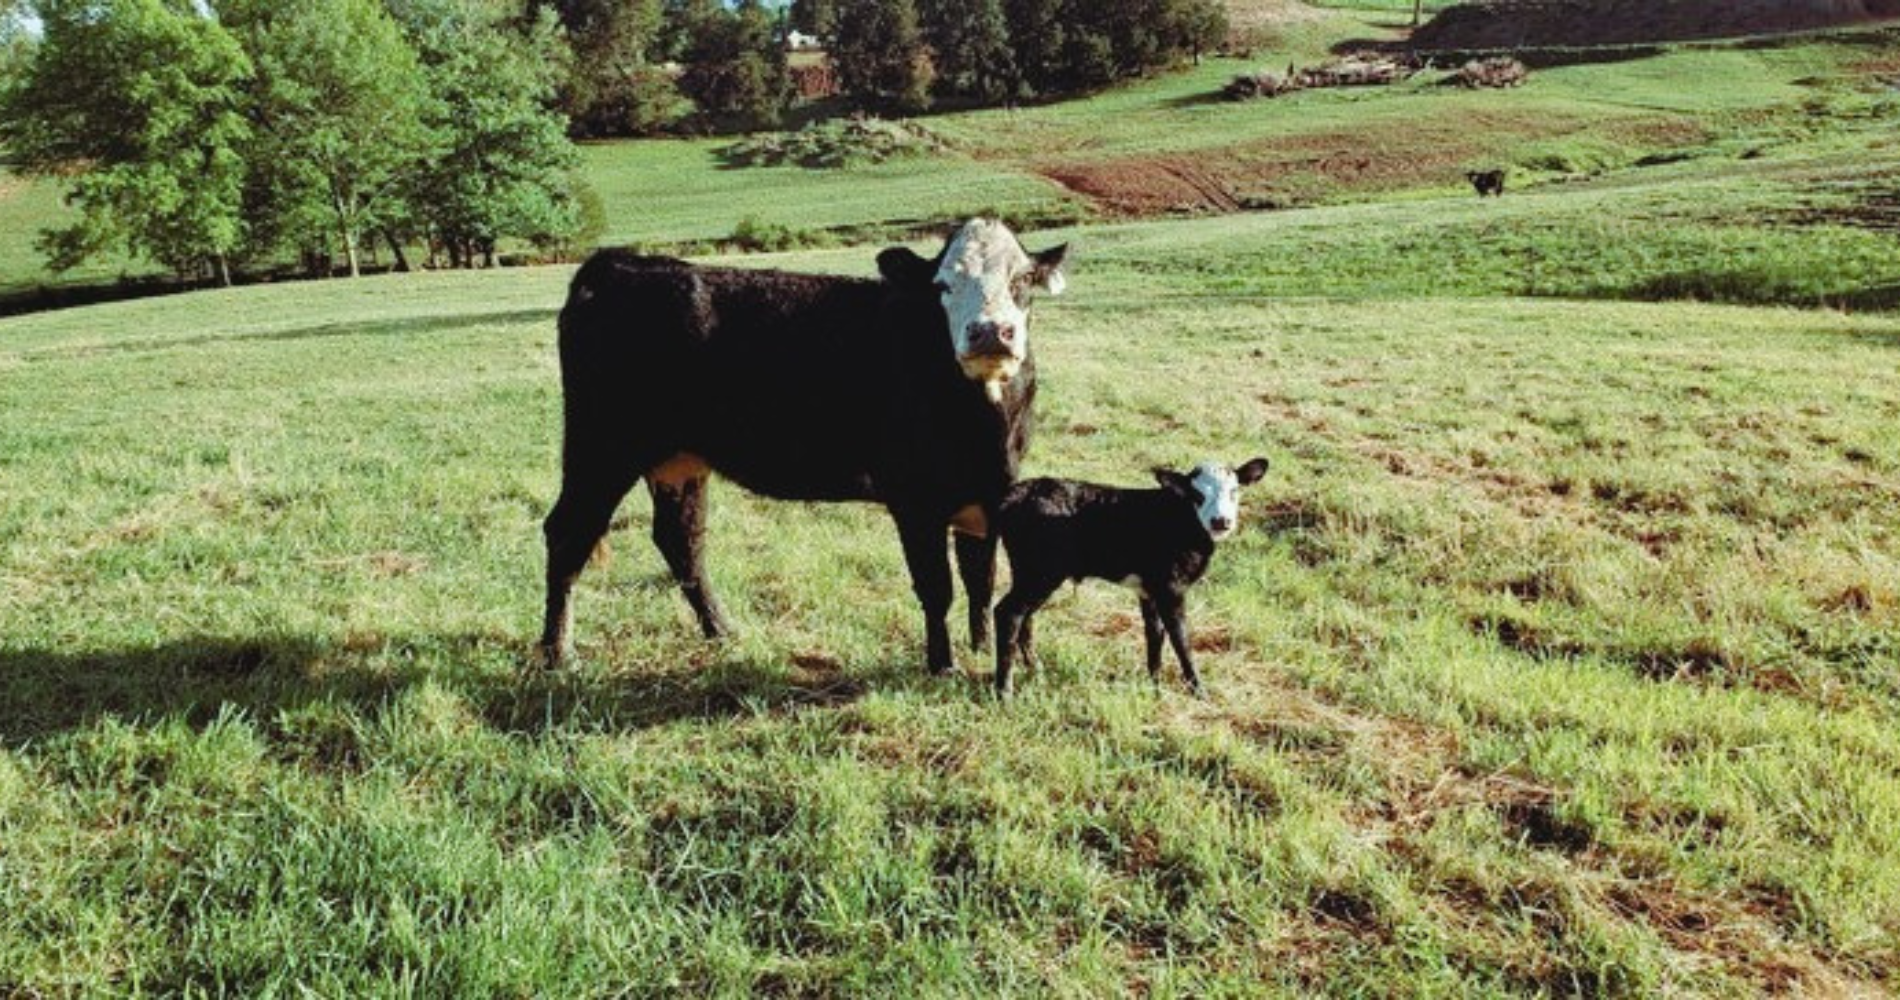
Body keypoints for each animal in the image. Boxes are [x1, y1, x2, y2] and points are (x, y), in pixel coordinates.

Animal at [539, 218, 1071, 673]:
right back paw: (558, 653)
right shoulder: (914, 500)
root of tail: (620, 264)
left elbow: (981, 577)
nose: (990, 332)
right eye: (942, 285)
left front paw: (981, 648)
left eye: (1024, 279)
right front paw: (943, 665)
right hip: (600, 448)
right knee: (567, 532)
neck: (984, 426)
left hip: (677, 459)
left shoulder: (987, 490)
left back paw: (722, 629)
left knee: (681, 539)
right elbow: (937, 587)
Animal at [988, 458, 1269, 695]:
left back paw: (1035, 670)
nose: (1221, 521)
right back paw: (1004, 691)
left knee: (1026, 616)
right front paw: (1198, 690)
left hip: (1029, 571)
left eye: (1235, 490)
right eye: (1196, 495)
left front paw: (1154, 684)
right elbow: (1180, 637)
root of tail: (1016, 493)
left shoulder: (1149, 590)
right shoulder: (1171, 587)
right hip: (1042, 571)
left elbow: (1155, 634)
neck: (1181, 520)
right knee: (1009, 613)